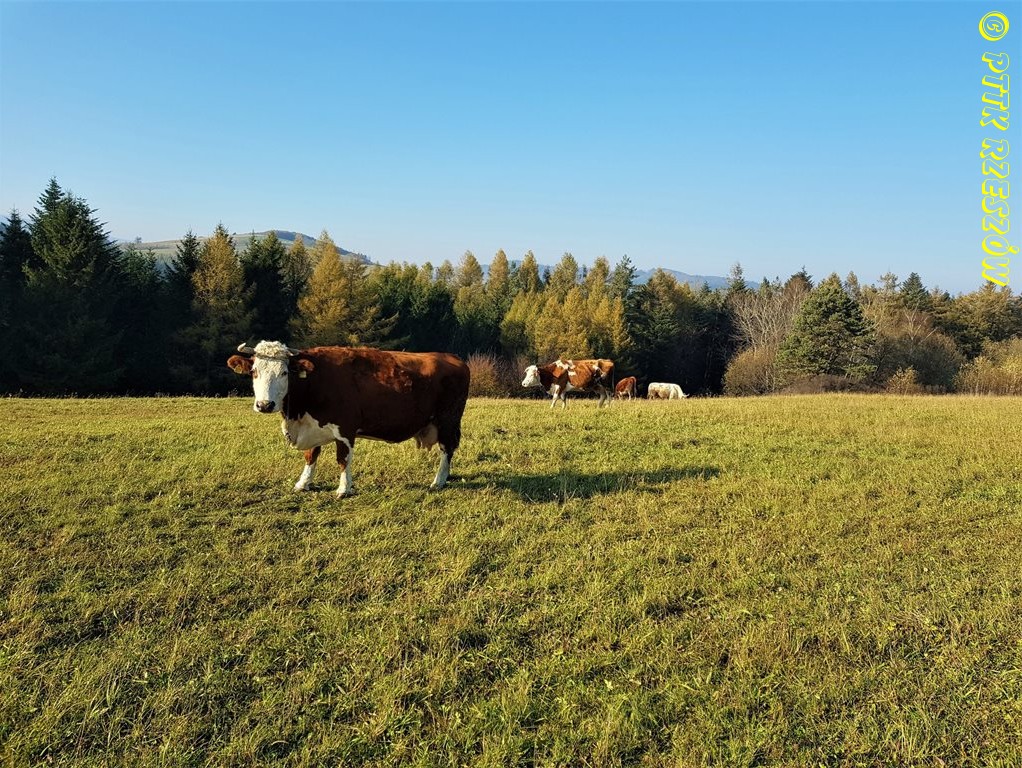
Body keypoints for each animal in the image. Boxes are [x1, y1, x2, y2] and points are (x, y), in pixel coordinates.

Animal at [227, 341, 470, 497]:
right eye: (254, 371)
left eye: (284, 372)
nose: (264, 405)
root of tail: (451, 357)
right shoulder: (312, 426)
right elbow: (311, 455)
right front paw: (303, 483)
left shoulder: (345, 428)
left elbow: (343, 459)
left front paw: (343, 488)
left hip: (448, 420)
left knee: (447, 449)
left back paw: (438, 481)